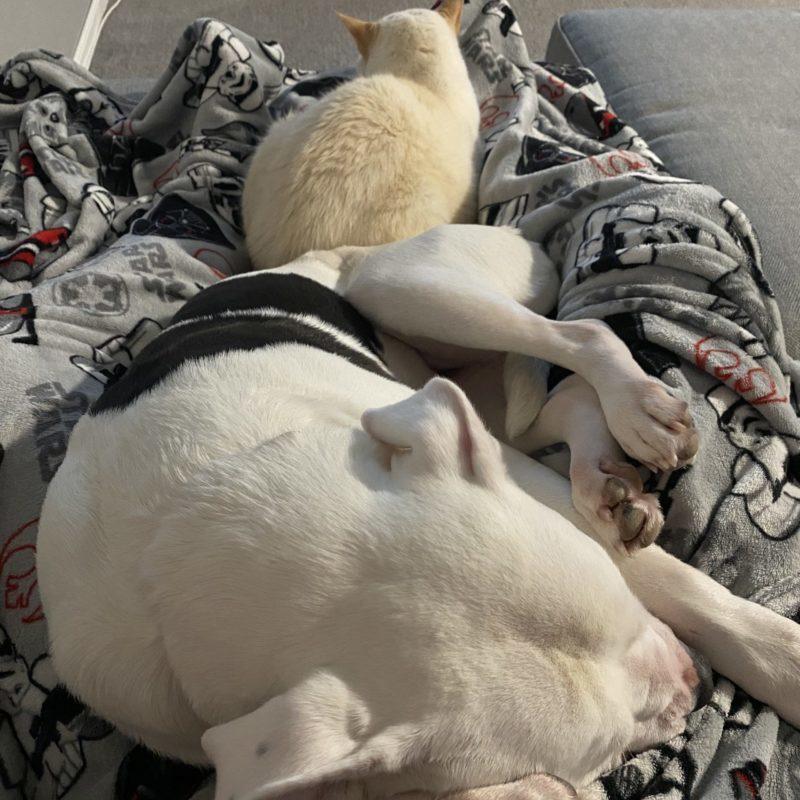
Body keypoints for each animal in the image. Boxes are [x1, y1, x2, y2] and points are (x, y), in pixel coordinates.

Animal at [37, 223, 800, 800]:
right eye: (603, 746)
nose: (699, 682)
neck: (189, 520)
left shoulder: (512, 484)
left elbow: (684, 589)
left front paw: (780, 659)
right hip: (472, 386)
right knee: (553, 405)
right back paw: (603, 475)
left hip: (413, 287)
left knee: (579, 337)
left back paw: (637, 408)